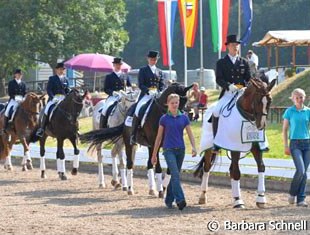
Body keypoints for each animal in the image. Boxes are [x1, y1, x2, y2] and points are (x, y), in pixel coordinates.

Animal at [194, 78, 276, 208]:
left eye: (270, 100)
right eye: (257, 100)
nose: (261, 125)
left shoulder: (256, 147)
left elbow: (261, 167)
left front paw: (261, 198)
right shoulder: (235, 147)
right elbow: (237, 172)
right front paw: (238, 201)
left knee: (231, 169)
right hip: (210, 148)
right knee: (207, 168)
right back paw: (203, 196)